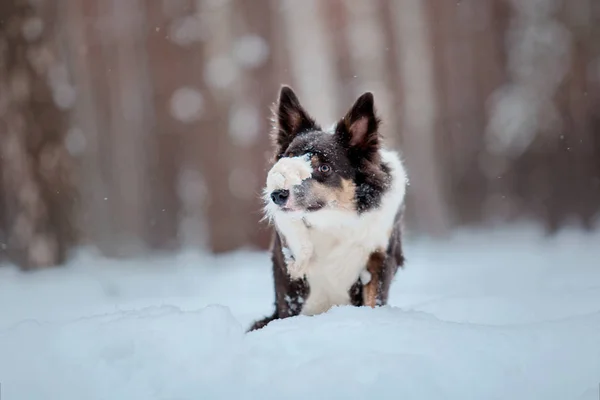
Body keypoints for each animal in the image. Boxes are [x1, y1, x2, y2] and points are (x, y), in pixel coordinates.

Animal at [248, 85, 408, 332]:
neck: (332, 221)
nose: (277, 195)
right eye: (286, 160)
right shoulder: (289, 271)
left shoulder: (380, 257)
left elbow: (374, 299)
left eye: (324, 167)